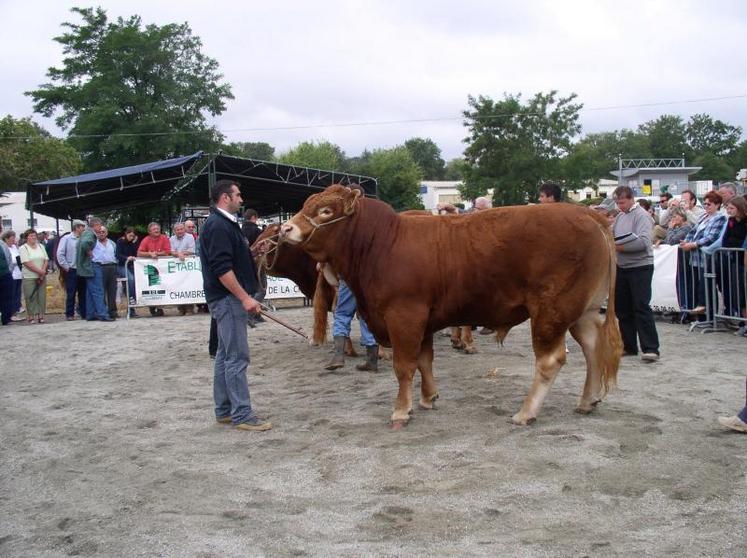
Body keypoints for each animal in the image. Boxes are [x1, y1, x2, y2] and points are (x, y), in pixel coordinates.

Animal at [280, 187, 620, 428]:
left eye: (326, 211)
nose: (285, 229)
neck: (382, 244)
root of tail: (590, 216)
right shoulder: (423, 320)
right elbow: (424, 361)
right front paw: (429, 397)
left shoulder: (404, 316)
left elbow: (404, 366)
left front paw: (401, 410)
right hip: (584, 311)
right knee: (593, 348)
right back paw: (587, 401)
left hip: (551, 311)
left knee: (551, 360)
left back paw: (525, 412)